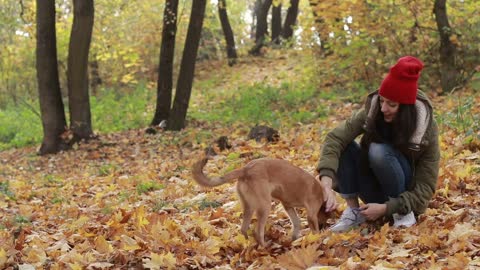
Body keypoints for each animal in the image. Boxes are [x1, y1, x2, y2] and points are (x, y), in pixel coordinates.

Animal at [190, 156, 326, 247]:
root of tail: (245, 169)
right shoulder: (311, 214)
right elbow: (314, 229)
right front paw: (318, 239)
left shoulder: (288, 206)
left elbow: (296, 223)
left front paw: (294, 239)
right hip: (265, 206)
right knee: (258, 231)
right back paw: (265, 247)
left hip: (248, 207)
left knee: (243, 229)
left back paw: (247, 244)